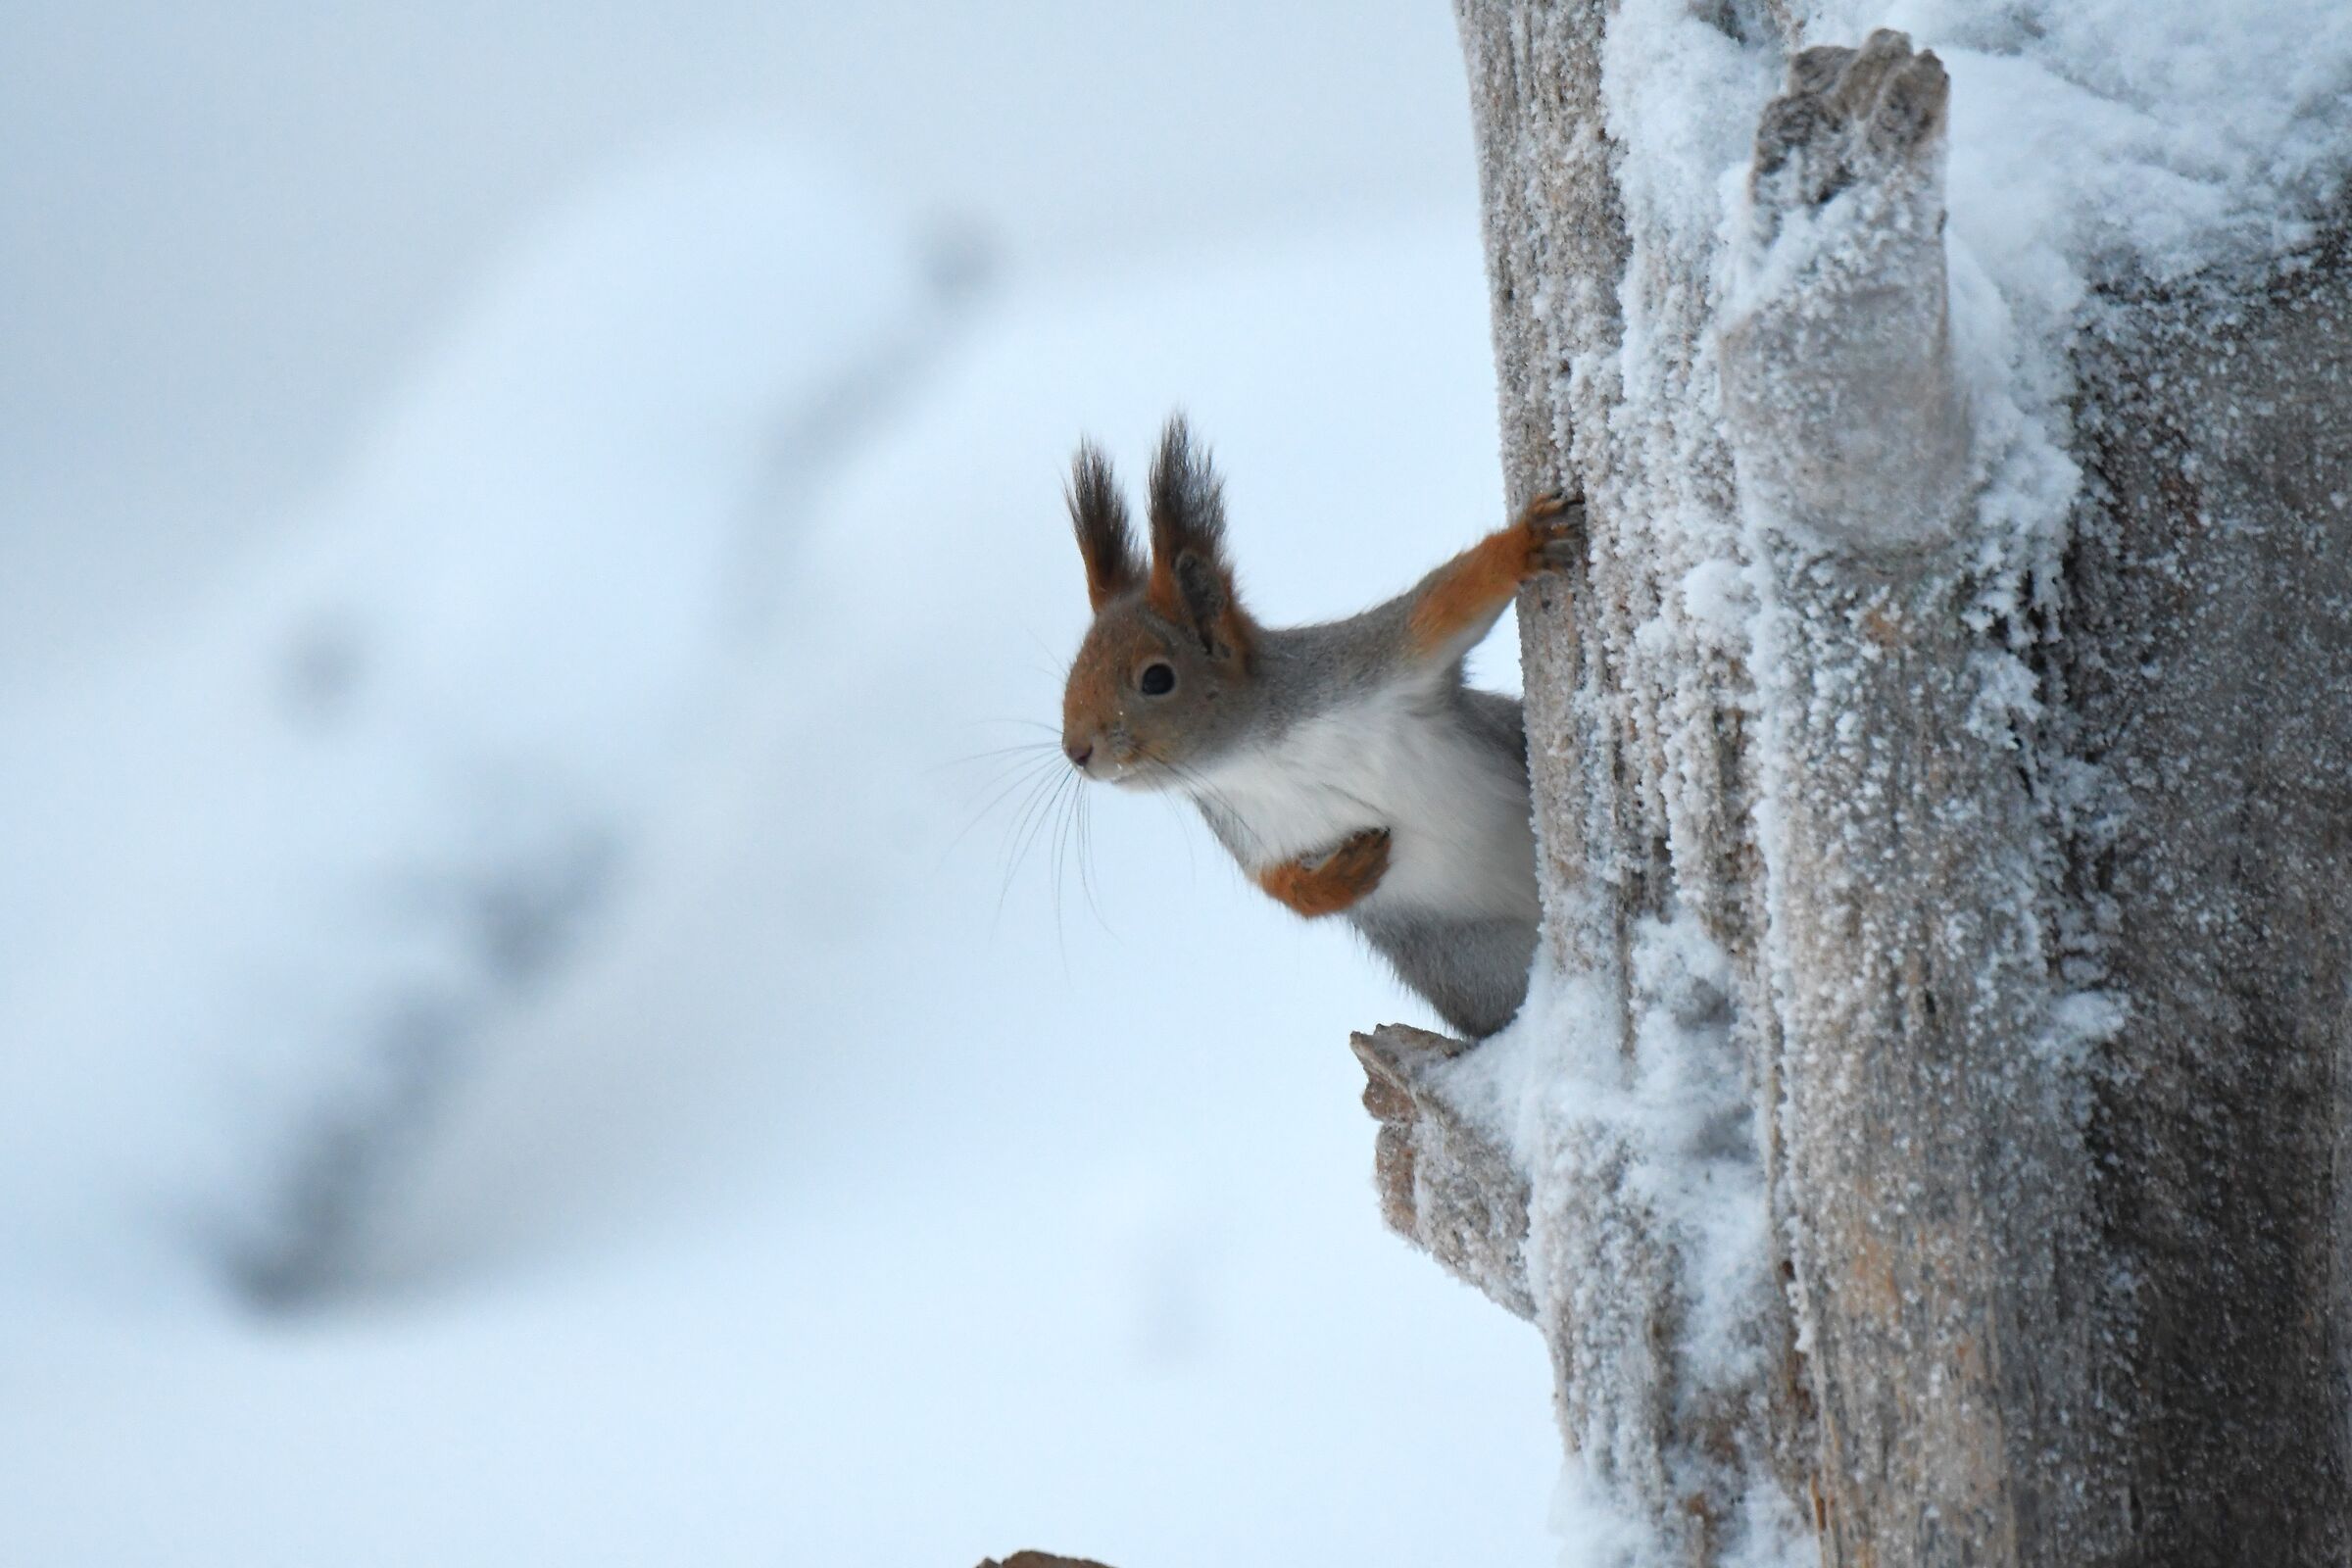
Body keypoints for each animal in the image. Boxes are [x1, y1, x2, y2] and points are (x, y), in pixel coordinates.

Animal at [1058, 416, 1583, 1038]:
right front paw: (1340, 878)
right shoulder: (1248, 829)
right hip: (1475, 961)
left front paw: (1523, 545)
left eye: (1157, 678)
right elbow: (1278, 888)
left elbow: (1441, 607)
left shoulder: (1363, 666)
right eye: (1073, 670)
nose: (1076, 750)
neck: (1260, 757)